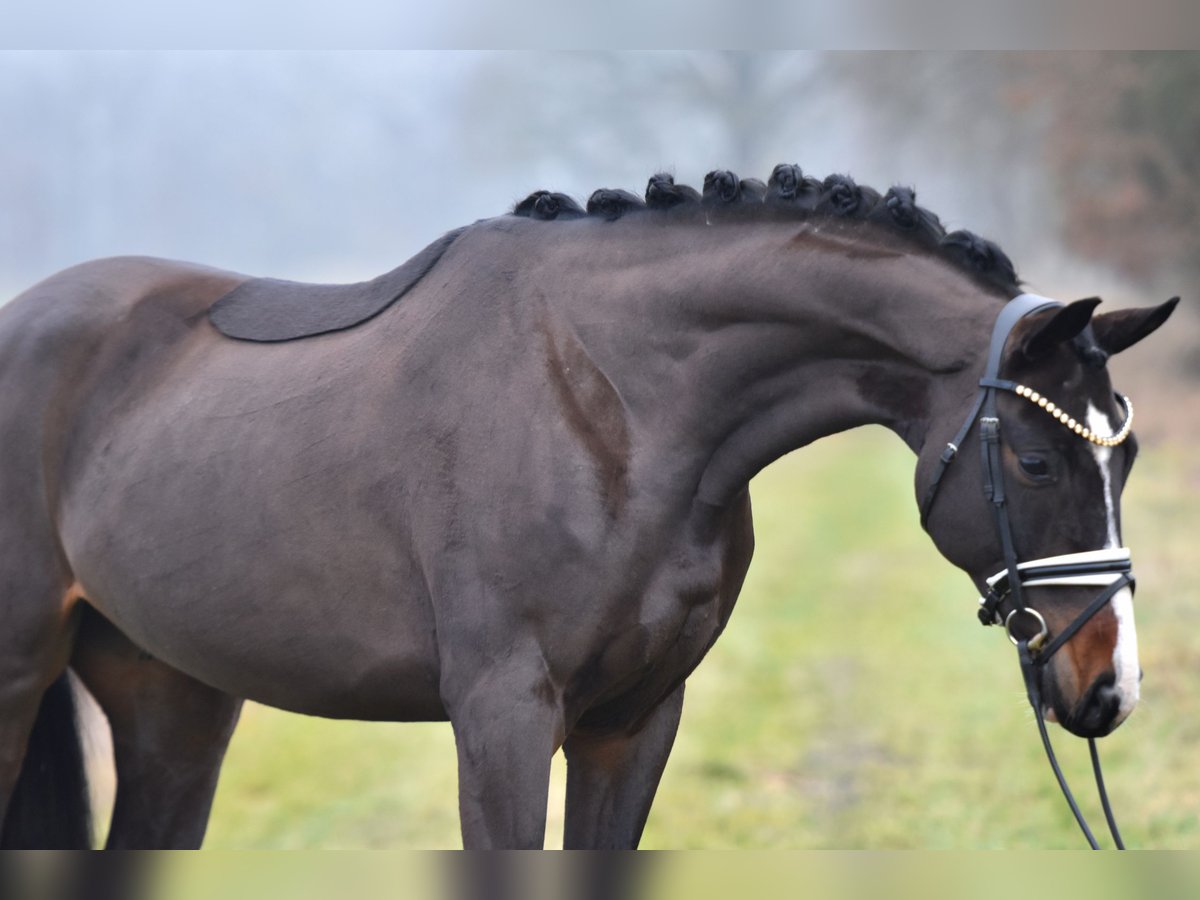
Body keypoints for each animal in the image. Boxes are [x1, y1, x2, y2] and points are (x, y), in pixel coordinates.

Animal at [0, 165, 1180, 849]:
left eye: (1125, 457)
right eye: (1037, 462)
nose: (1108, 687)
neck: (616, 406)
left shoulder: (634, 724)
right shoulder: (504, 718)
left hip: (174, 697)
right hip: (23, 678)